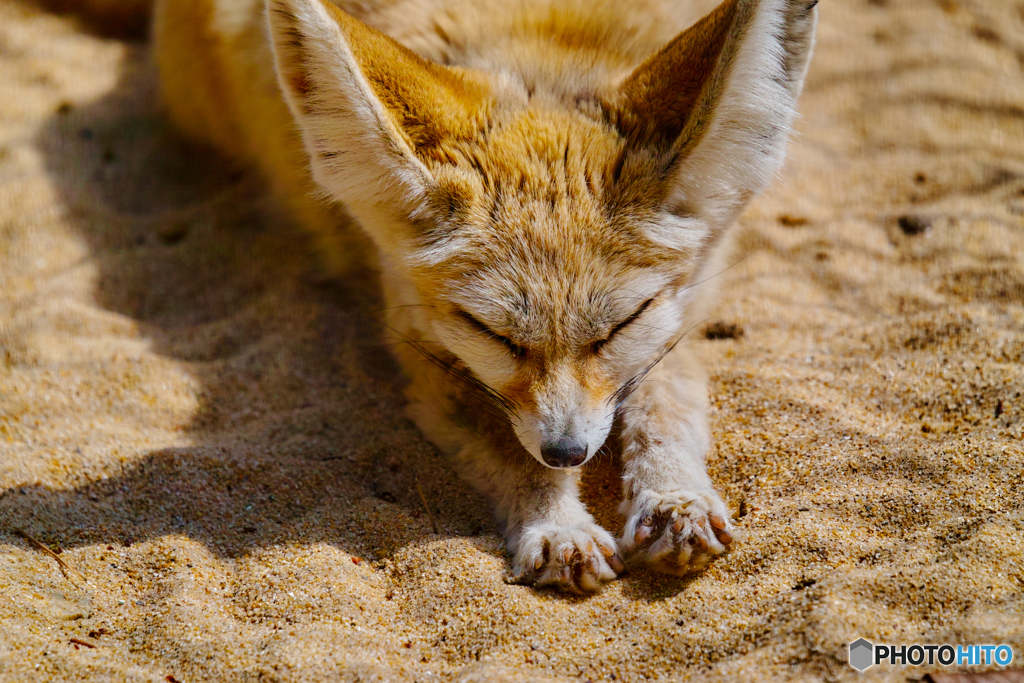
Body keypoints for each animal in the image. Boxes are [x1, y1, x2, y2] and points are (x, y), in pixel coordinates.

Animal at [151, 0, 819, 589]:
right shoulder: (429, 359)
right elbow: (511, 447)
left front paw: (675, 496)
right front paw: (557, 526)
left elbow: (666, 402)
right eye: (492, 334)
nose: (568, 452)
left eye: (621, 325)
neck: (538, 42)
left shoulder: (673, 322)